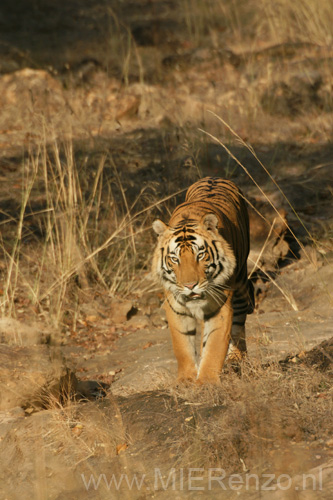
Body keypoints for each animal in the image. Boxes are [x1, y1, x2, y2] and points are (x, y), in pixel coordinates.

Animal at [152, 178, 253, 384]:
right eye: (174, 259)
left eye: (200, 255)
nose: (190, 286)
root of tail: (214, 177)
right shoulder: (175, 306)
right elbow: (182, 345)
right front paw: (186, 380)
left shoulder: (221, 305)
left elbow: (214, 346)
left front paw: (206, 382)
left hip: (240, 285)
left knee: (239, 324)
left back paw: (236, 359)